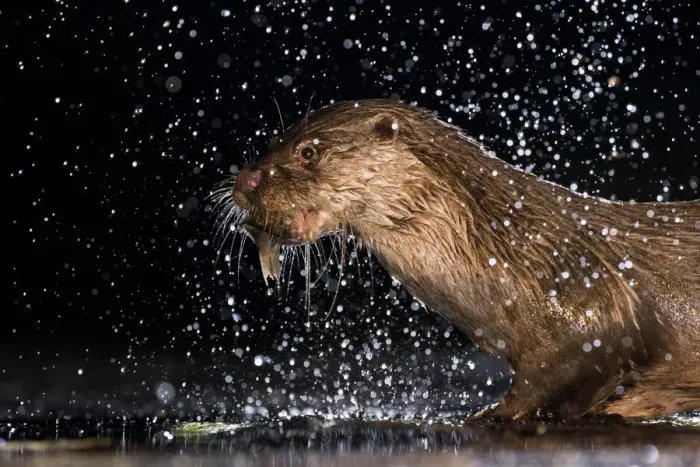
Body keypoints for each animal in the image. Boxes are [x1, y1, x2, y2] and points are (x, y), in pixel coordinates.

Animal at [223, 99, 700, 420]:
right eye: (271, 143)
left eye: (308, 152)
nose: (246, 177)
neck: (516, 252)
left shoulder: (588, 314)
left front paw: (489, 415)